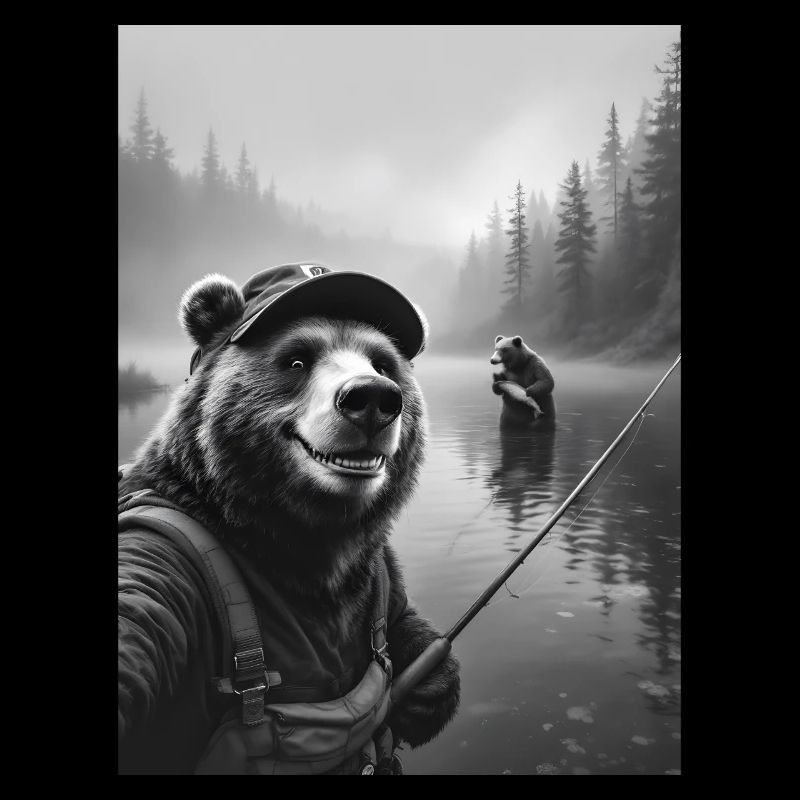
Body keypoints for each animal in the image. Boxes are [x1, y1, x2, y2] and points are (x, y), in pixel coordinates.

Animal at [118, 266, 460, 774]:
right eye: (297, 360)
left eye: (383, 363)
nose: (373, 397)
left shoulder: (373, 563)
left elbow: (399, 614)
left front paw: (431, 685)